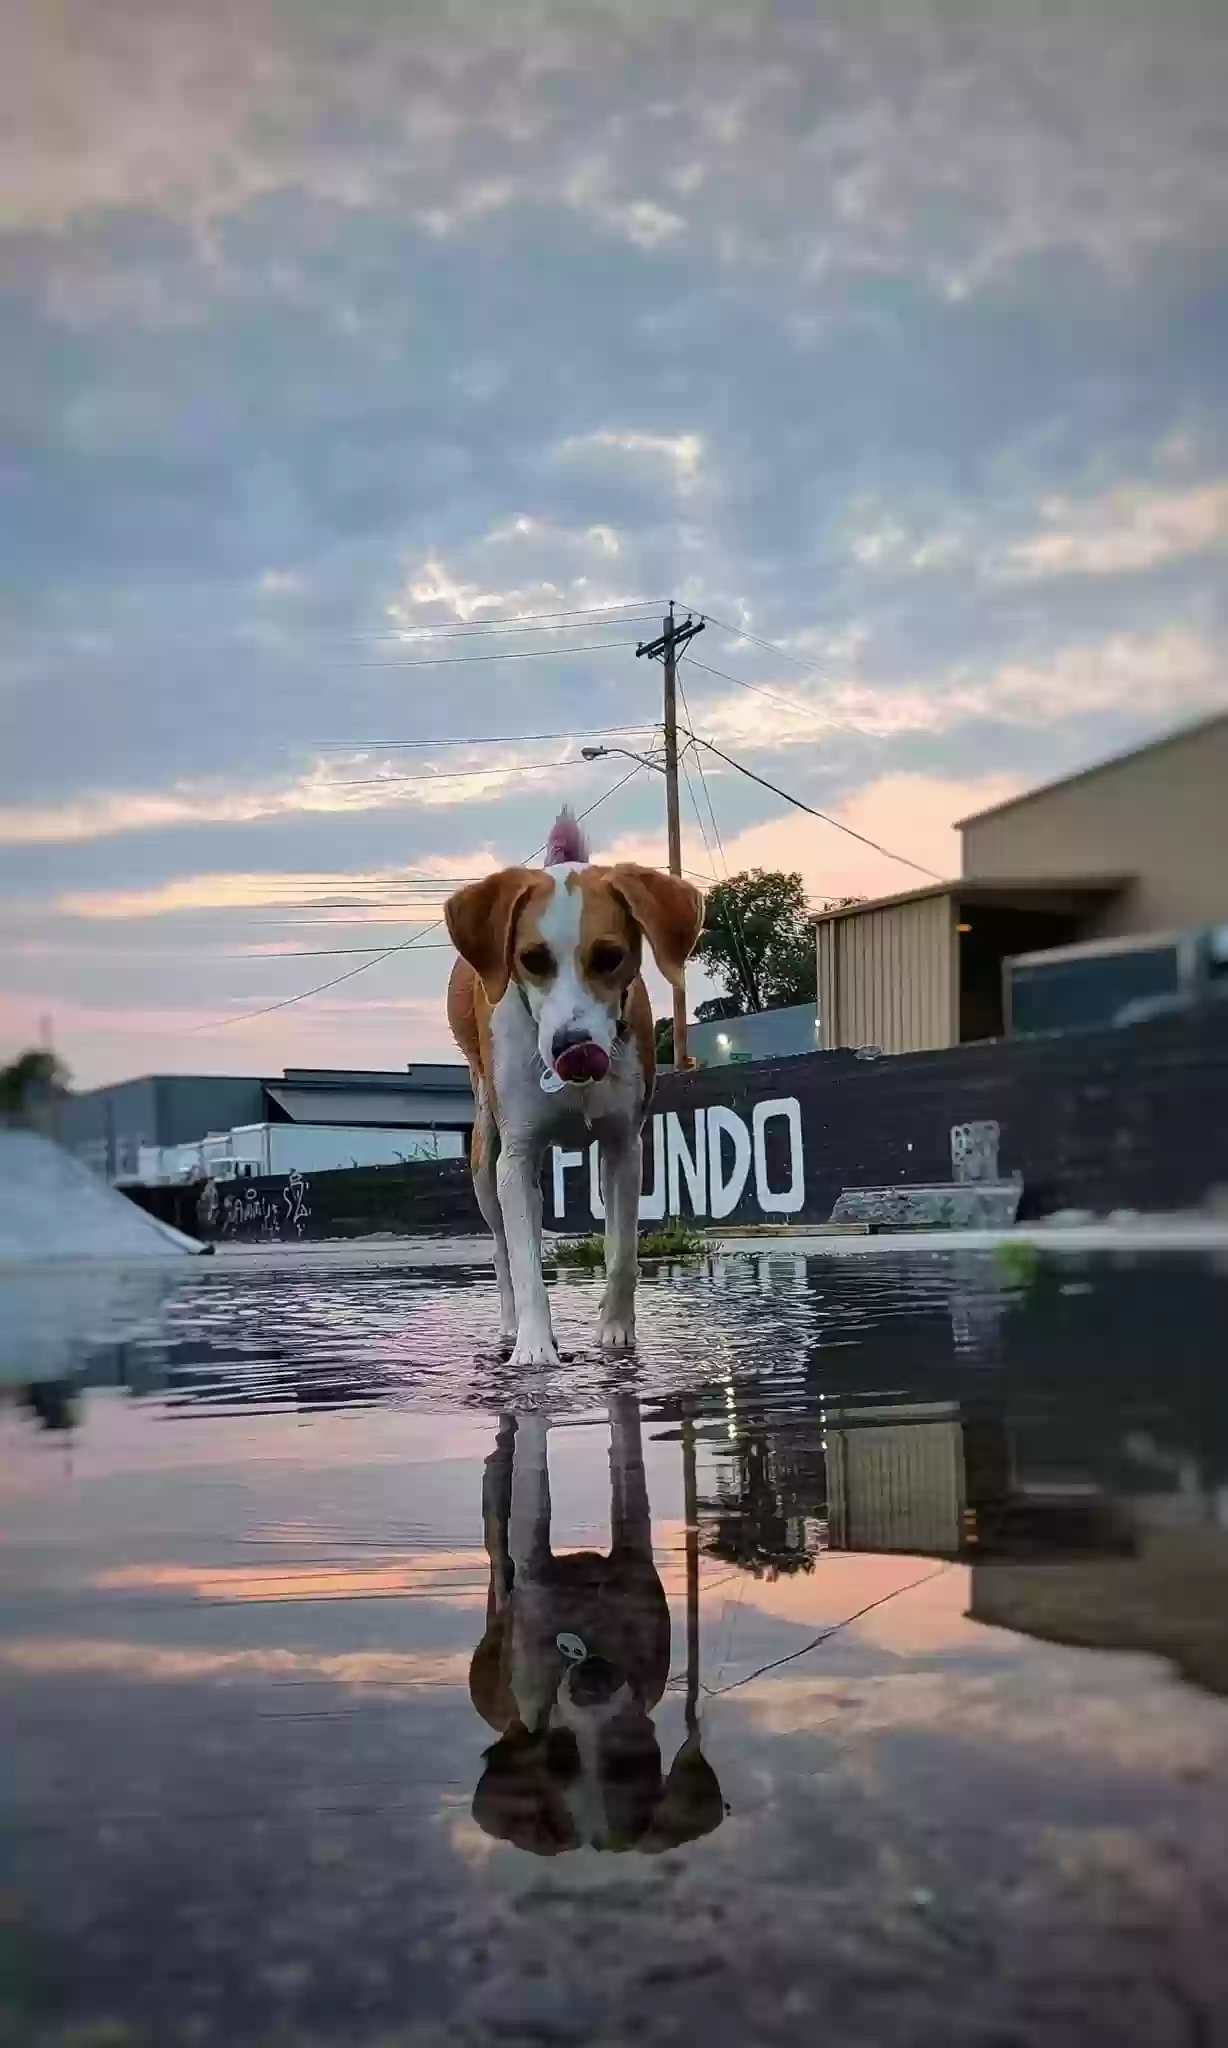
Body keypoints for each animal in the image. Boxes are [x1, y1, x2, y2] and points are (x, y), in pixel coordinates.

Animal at [448, 806, 699, 1368]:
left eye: (609, 956)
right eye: (532, 960)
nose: (572, 1045)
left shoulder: (624, 1147)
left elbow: (622, 1252)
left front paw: (616, 1329)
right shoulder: (516, 1159)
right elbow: (526, 1263)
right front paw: (535, 1347)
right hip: (483, 1158)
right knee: (501, 1250)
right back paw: (509, 1324)